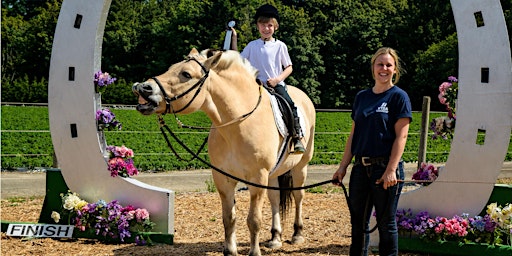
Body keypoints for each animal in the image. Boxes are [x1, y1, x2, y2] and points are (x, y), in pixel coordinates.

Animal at [132, 48, 316, 256]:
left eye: (186, 74)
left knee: (299, 196)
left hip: (300, 167)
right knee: (275, 199)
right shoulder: (223, 178)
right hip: (274, 173)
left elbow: (254, 220)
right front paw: (230, 250)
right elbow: (228, 218)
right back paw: (275, 238)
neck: (238, 123)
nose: (143, 87)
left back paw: (297, 234)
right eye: (172, 68)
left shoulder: (257, 178)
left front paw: (254, 252)